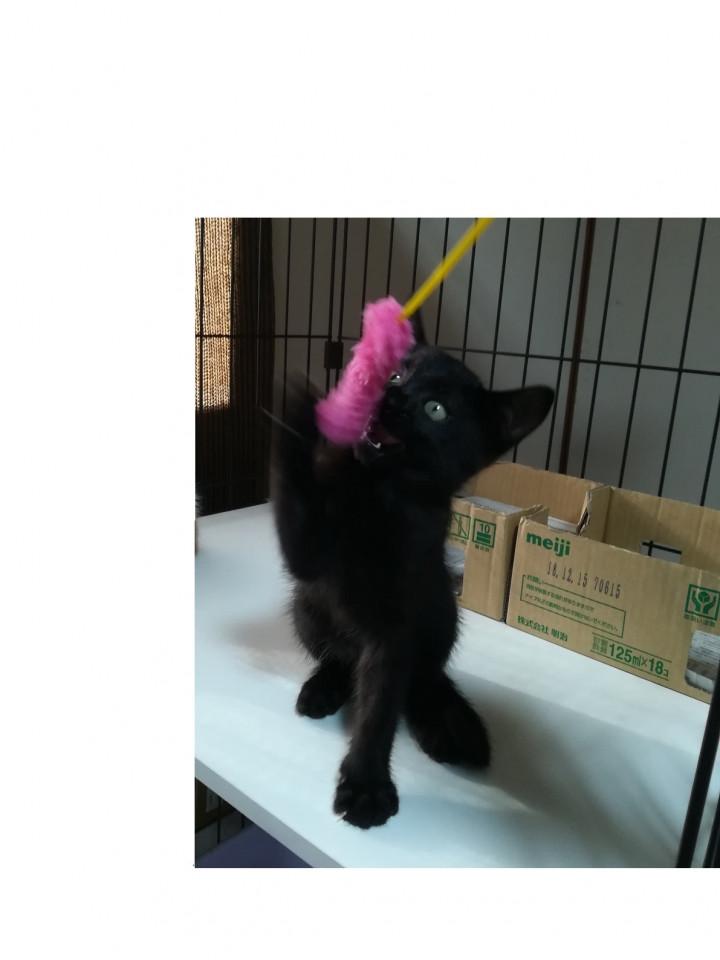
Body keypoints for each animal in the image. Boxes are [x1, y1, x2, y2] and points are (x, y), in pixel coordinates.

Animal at [271, 314, 554, 829]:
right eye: (399, 374)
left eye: (435, 409)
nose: (388, 395)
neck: (378, 493)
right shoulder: (307, 554)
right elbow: (298, 507)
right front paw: (302, 413)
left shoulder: (395, 627)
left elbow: (381, 706)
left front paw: (366, 788)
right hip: (307, 606)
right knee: (338, 658)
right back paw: (324, 687)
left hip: (443, 612)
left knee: (422, 679)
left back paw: (444, 726)